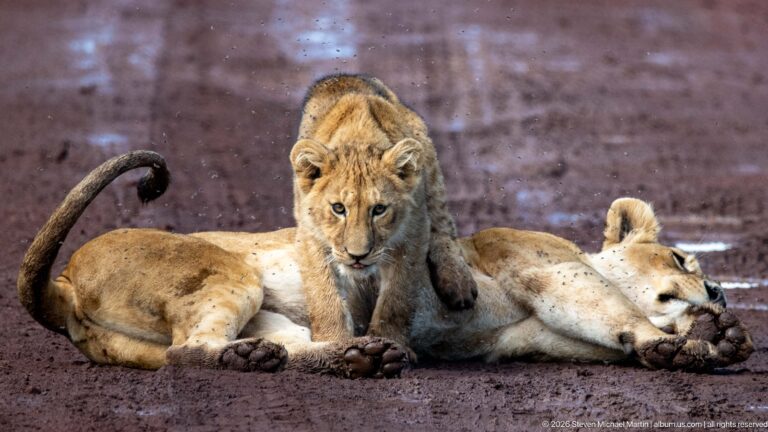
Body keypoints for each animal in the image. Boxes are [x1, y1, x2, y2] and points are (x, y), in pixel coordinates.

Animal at [19, 151, 753, 376]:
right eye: (682, 255)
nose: (718, 287)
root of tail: (63, 285)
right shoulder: (541, 268)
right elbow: (618, 310)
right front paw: (698, 340)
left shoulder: (538, 334)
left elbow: (609, 333)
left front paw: (707, 339)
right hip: (229, 273)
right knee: (187, 351)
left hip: (270, 315)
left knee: (281, 348)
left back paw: (358, 357)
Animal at [289, 74, 478, 348]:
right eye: (338, 208)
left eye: (379, 209)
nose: (357, 256)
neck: (359, 138)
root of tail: (344, 76)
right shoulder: (310, 235)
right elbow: (324, 294)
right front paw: (333, 343)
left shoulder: (412, 233)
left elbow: (396, 299)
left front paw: (389, 344)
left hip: (428, 162)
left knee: (443, 226)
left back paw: (459, 283)